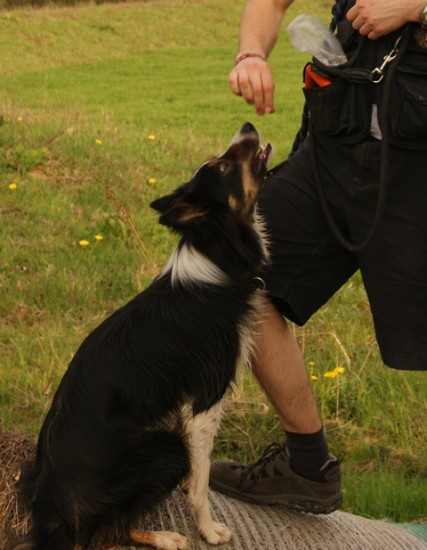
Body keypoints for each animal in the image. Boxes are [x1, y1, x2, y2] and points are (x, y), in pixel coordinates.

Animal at [15, 124, 274, 550]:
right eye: (223, 165)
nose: (248, 127)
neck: (215, 255)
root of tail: (51, 514)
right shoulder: (205, 397)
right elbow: (201, 479)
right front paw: (208, 530)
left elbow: (198, 473)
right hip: (165, 449)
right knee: (107, 530)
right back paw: (166, 536)